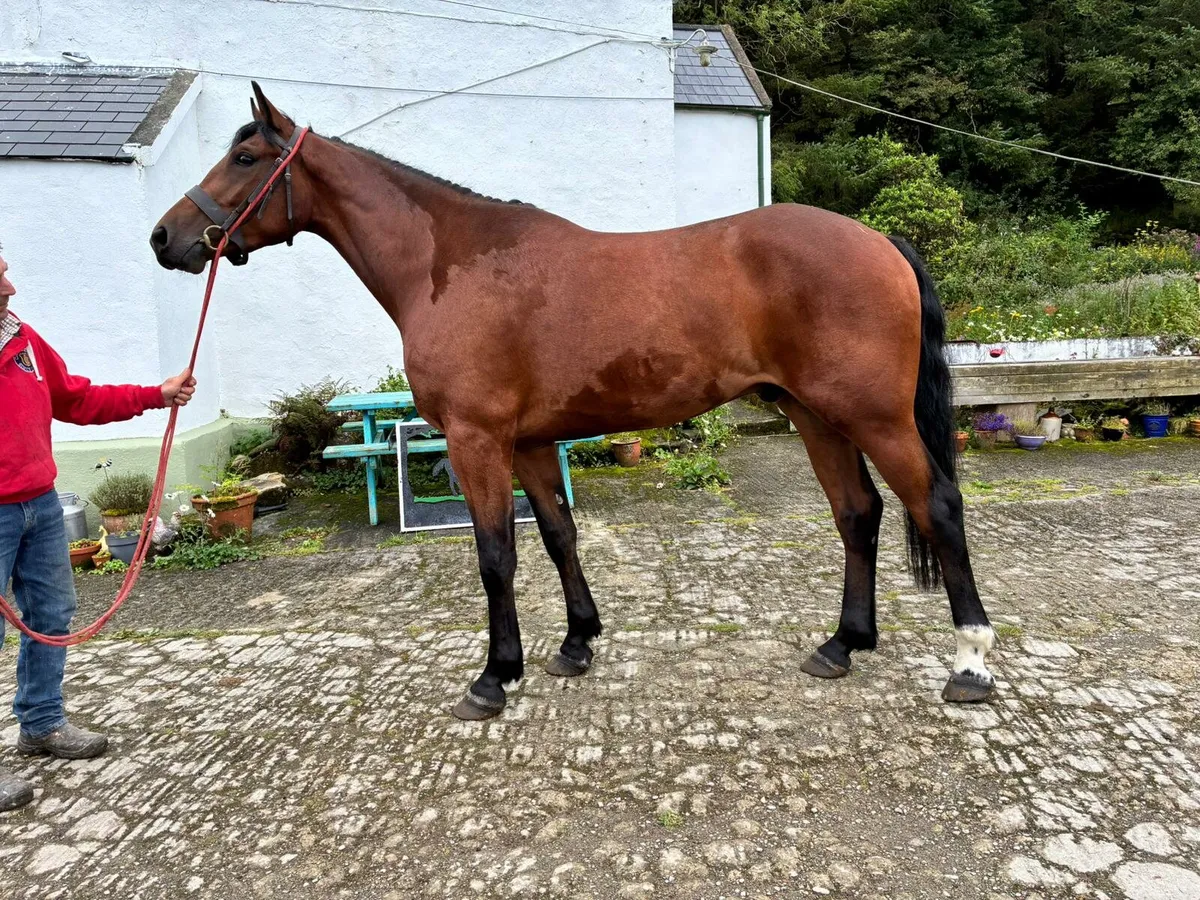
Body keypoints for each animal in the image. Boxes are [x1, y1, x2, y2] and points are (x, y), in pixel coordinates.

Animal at [150, 83, 997, 721]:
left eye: (246, 157)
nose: (165, 238)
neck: (449, 263)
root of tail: (881, 242)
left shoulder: (477, 439)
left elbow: (496, 555)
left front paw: (494, 677)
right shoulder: (527, 442)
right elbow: (558, 536)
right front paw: (575, 643)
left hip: (873, 417)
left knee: (937, 507)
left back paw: (971, 666)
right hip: (816, 416)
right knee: (859, 513)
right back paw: (841, 645)